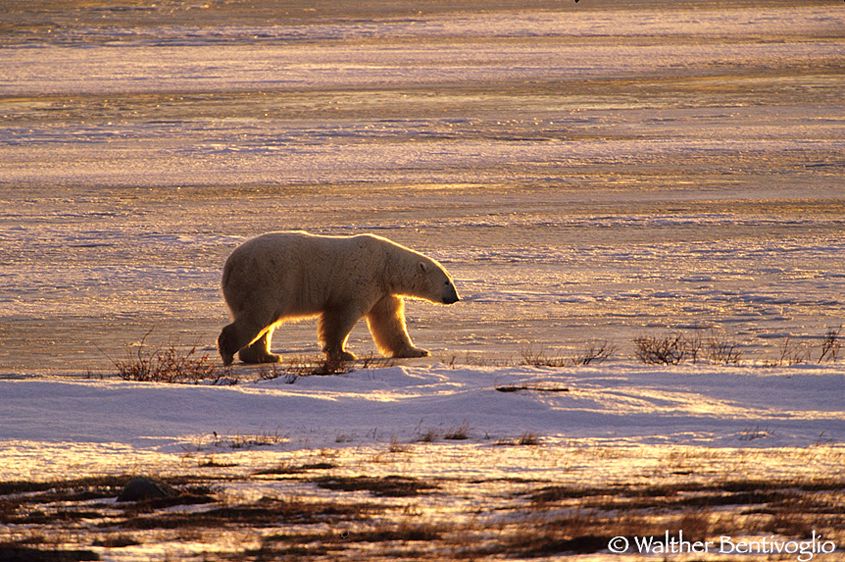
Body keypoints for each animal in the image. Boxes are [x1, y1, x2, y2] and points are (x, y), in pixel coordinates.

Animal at [217, 231, 460, 366]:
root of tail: (230, 265)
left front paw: (416, 351)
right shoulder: (360, 281)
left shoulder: (382, 292)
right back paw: (228, 350)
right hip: (267, 280)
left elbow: (390, 322)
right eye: (447, 282)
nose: (455, 298)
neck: (386, 265)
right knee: (259, 316)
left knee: (264, 322)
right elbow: (341, 317)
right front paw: (343, 354)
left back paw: (265, 356)